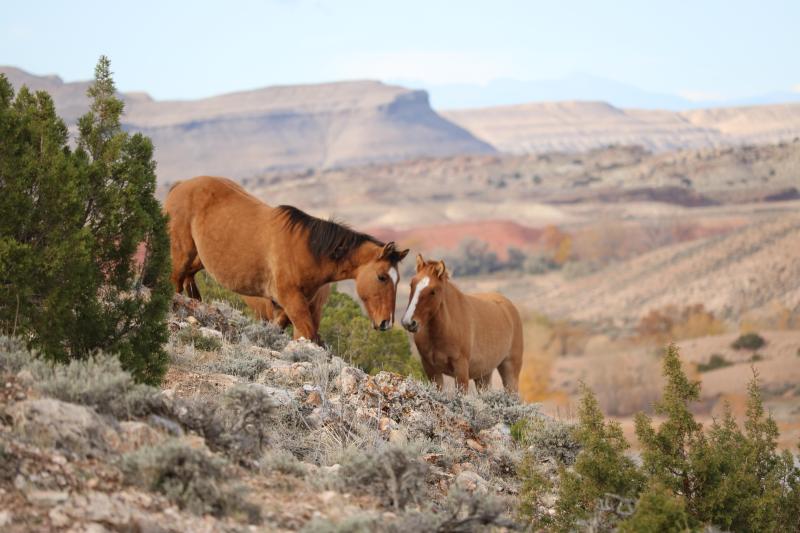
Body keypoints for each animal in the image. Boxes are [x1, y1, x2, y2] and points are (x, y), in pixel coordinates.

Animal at [165, 176, 408, 341]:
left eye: (397, 280)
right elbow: (310, 337)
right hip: (181, 255)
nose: (386, 322)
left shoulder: (285, 305)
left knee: (189, 282)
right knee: (175, 283)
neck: (307, 251)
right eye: (382, 277)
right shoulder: (292, 301)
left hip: (199, 260)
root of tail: (180, 185)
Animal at [400, 254, 523, 393]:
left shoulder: (461, 370)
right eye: (411, 284)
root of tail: (509, 307)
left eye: (433, 291)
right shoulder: (431, 370)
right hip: (484, 375)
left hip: (509, 370)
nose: (409, 322)